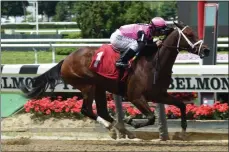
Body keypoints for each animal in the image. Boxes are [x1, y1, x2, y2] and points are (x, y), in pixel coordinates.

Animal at [20, 21, 210, 139]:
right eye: (189, 34)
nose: (206, 50)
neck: (154, 64)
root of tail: (66, 60)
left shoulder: (159, 95)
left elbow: (181, 105)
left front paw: (183, 131)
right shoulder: (135, 97)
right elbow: (150, 117)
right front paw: (131, 121)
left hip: (99, 87)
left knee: (102, 111)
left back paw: (121, 130)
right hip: (87, 85)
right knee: (86, 110)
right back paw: (117, 129)